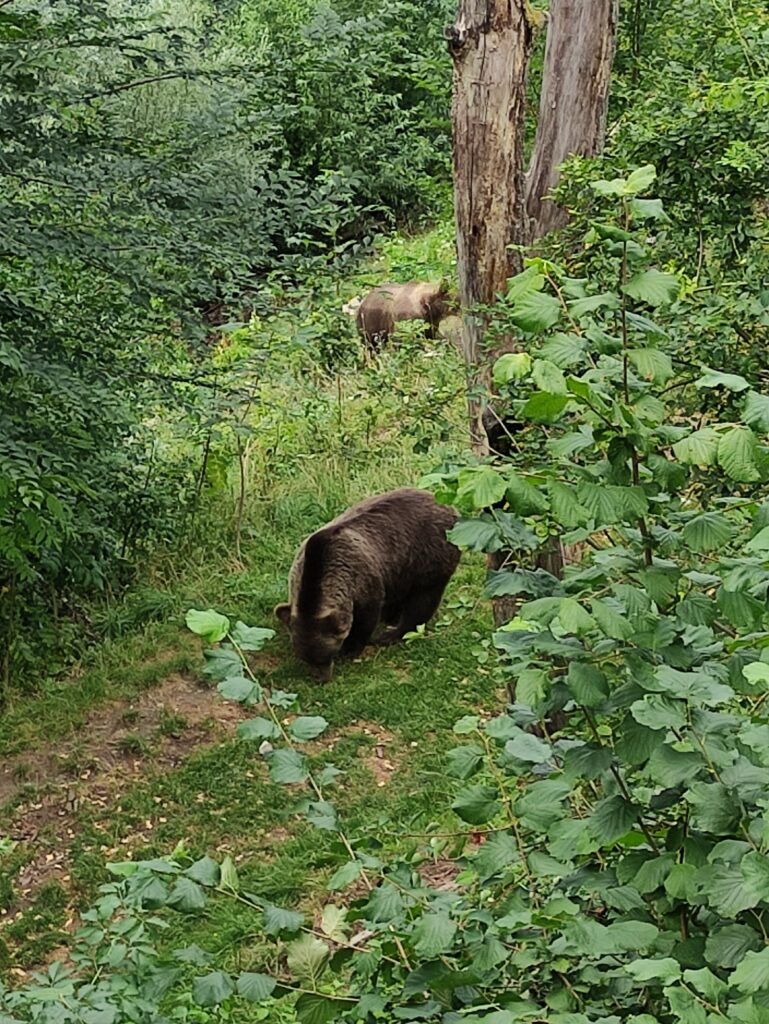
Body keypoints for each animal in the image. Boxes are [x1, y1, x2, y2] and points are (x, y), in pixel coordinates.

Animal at [274, 487, 460, 679]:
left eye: (325, 656)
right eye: (306, 658)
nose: (321, 678)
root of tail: (446, 504)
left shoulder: (361, 581)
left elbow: (365, 618)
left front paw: (350, 649)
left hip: (428, 555)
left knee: (423, 598)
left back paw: (392, 633)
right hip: (400, 569)